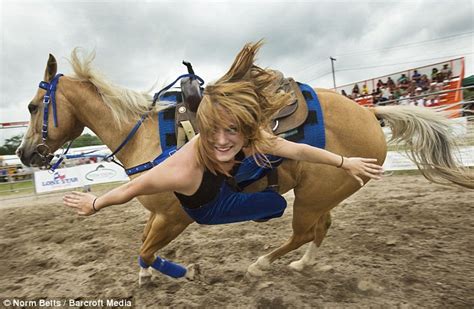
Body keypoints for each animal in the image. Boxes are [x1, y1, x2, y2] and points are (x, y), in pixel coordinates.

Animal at [16, 46, 472, 284]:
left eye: (34, 106)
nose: (23, 154)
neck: (148, 138)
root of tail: (370, 113)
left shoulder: (175, 216)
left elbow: (147, 247)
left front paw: (179, 272)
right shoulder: (158, 212)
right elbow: (142, 246)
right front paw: (146, 276)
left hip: (311, 196)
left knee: (303, 230)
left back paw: (262, 263)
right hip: (322, 194)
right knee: (321, 228)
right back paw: (302, 264)